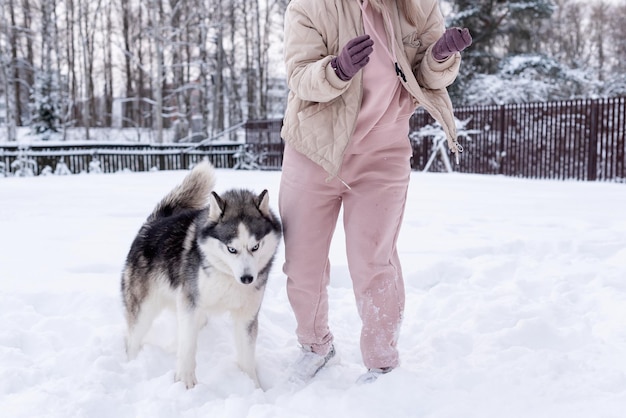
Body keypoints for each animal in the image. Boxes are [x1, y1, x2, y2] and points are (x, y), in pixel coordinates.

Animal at [120, 161, 280, 388]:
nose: (247, 279)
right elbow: (187, 346)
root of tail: (150, 225)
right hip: (144, 310)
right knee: (133, 340)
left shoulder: (246, 315)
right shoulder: (190, 304)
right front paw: (185, 381)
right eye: (232, 249)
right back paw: (132, 364)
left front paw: (253, 386)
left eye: (255, 247)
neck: (227, 276)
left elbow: (247, 357)